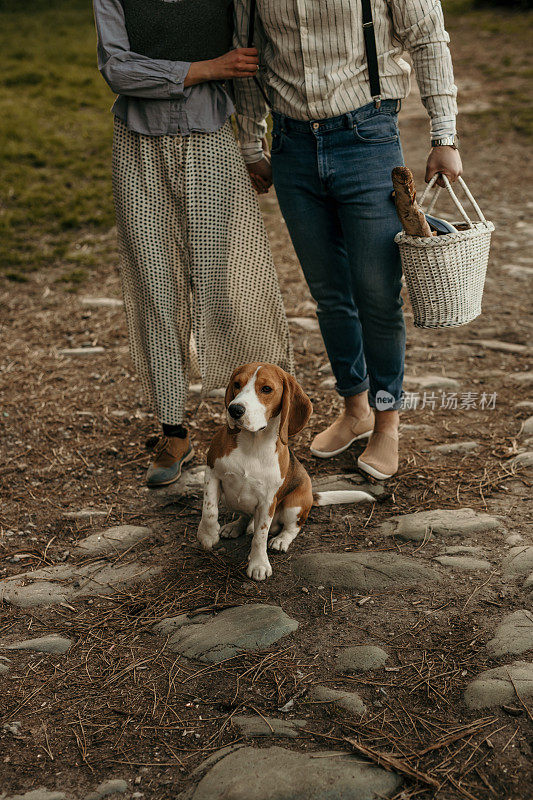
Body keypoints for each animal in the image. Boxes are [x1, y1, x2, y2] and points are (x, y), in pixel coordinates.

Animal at [196, 364, 374, 580]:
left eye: (266, 389)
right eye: (237, 384)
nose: (234, 410)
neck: (252, 444)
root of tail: (311, 495)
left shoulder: (268, 500)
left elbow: (261, 535)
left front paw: (258, 563)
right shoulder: (212, 473)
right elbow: (209, 510)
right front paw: (207, 535)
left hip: (294, 505)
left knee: (293, 527)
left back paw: (280, 540)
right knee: (245, 517)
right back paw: (236, 526)